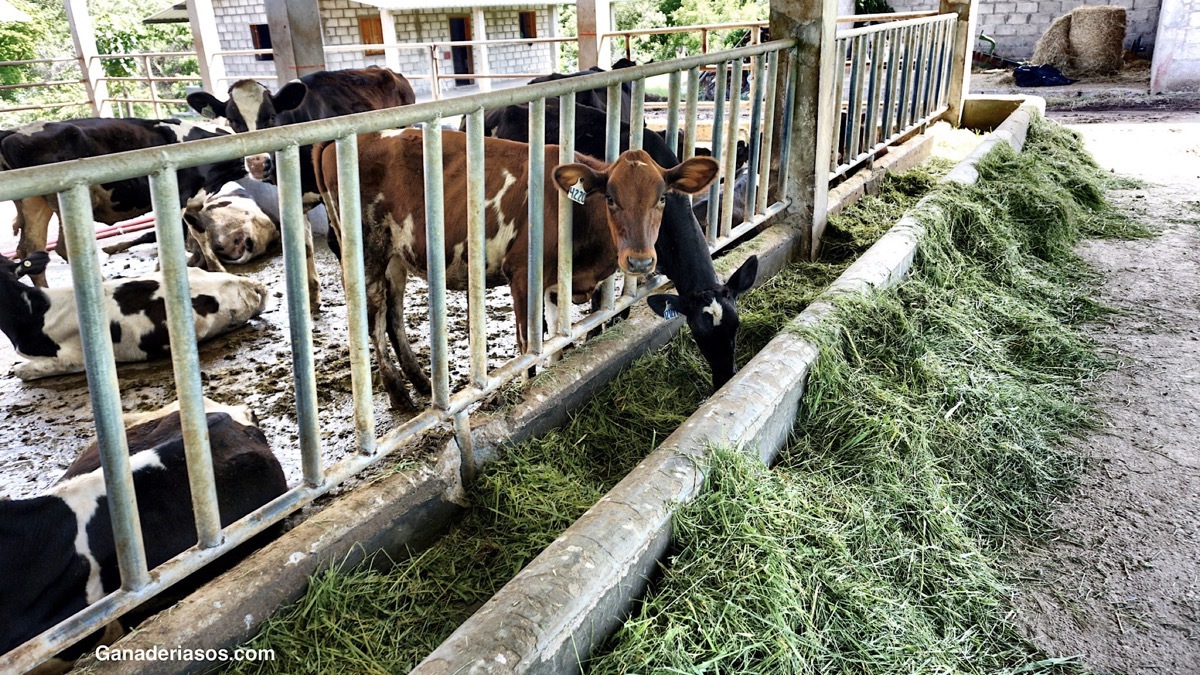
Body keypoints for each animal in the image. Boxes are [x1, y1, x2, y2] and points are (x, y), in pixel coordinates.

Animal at [314, 127, 715, 408]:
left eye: (662, 198)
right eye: (611, 199)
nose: (640, 259)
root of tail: (341, 140)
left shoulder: (556, 284)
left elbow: (556, 341)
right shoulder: (522, 275)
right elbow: (528, 350)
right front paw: (531, 389)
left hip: (397, 255)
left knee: (394, 313)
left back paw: (421, 381)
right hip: (367, 250)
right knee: (374, 315)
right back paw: (399, 394)